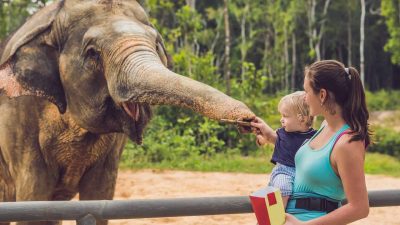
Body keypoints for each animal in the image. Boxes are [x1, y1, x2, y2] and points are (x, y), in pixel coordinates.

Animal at [0, 0, 256, 225]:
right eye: (92, 52)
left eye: (156, 44)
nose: (250, 121)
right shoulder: (19, 123)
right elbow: (34, 199)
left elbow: (99, 198)